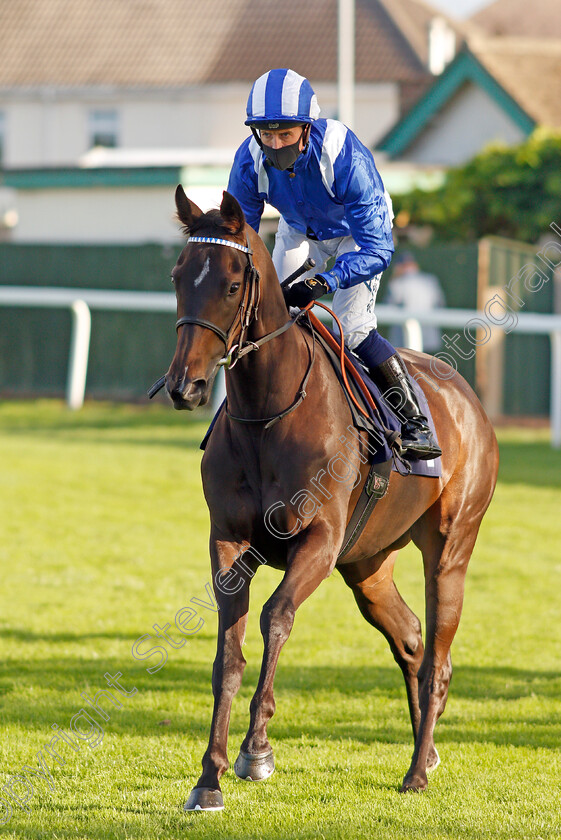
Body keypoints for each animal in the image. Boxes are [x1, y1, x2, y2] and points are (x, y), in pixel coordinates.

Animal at [163, 187, 498, 812]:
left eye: (231, 283)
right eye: (178, 275)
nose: (185, 386)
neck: (268, 413)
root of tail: (468, 398)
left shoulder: (318, 539)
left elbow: (275, 618)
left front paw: (256, 751)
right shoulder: (228, 541)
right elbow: (228, 653)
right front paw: (209, 778)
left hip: (450, 548)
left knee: (437, 658)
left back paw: (416, 771)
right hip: (367, 564)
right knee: (411, 639)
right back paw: (426, 753)